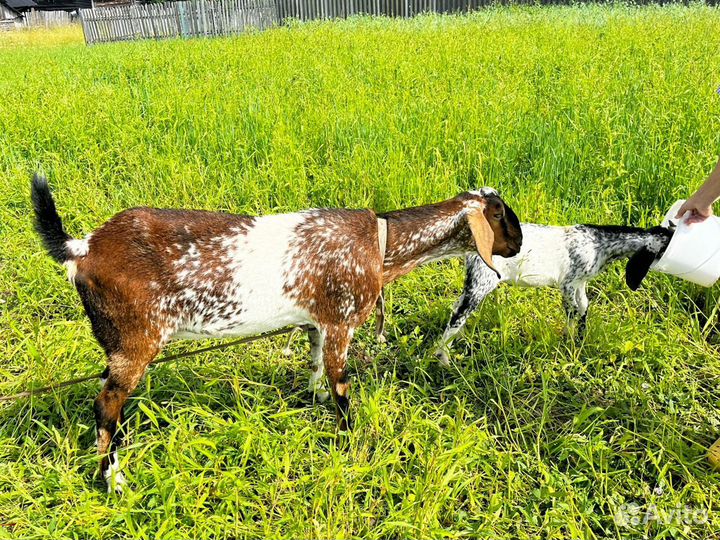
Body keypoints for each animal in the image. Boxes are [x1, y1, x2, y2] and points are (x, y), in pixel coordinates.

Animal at [31, 176, 524, 494]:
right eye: (501, 215)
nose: (519, 245)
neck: (381, 245)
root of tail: (83, 248)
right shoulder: (341, 320)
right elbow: (342, 385)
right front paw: (351, 445)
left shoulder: (316, 321)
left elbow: (315, 363)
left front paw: (313, 399)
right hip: (136, 340)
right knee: (105, 406)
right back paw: (115, 481)